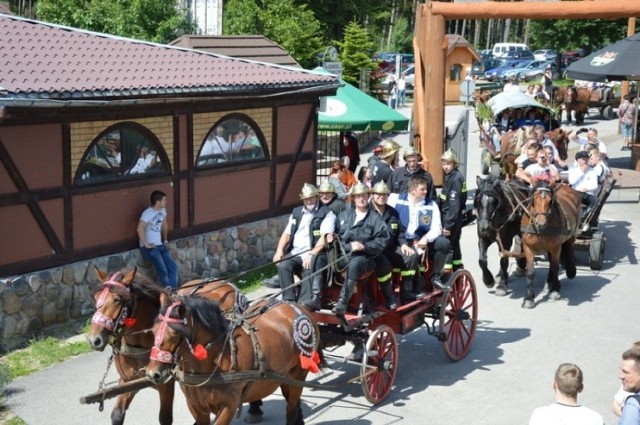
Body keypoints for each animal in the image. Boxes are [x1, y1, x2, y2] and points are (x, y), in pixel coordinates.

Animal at [86, 268, 262, 424]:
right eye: (95, 298)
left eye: (117, 299)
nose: (93, 339)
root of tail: (222, 282)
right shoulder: (128, 379)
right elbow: (117, 414)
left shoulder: (165, 383)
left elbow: (164, 418)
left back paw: (255, 408)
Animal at [145, 294, 320, 424]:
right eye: (152, 331)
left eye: (174, 334)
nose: (152, 373)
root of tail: (298, 307)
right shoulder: (196, 407)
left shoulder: (229, 406)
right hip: (284, 375)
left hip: (299, 372)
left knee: (291, 408)